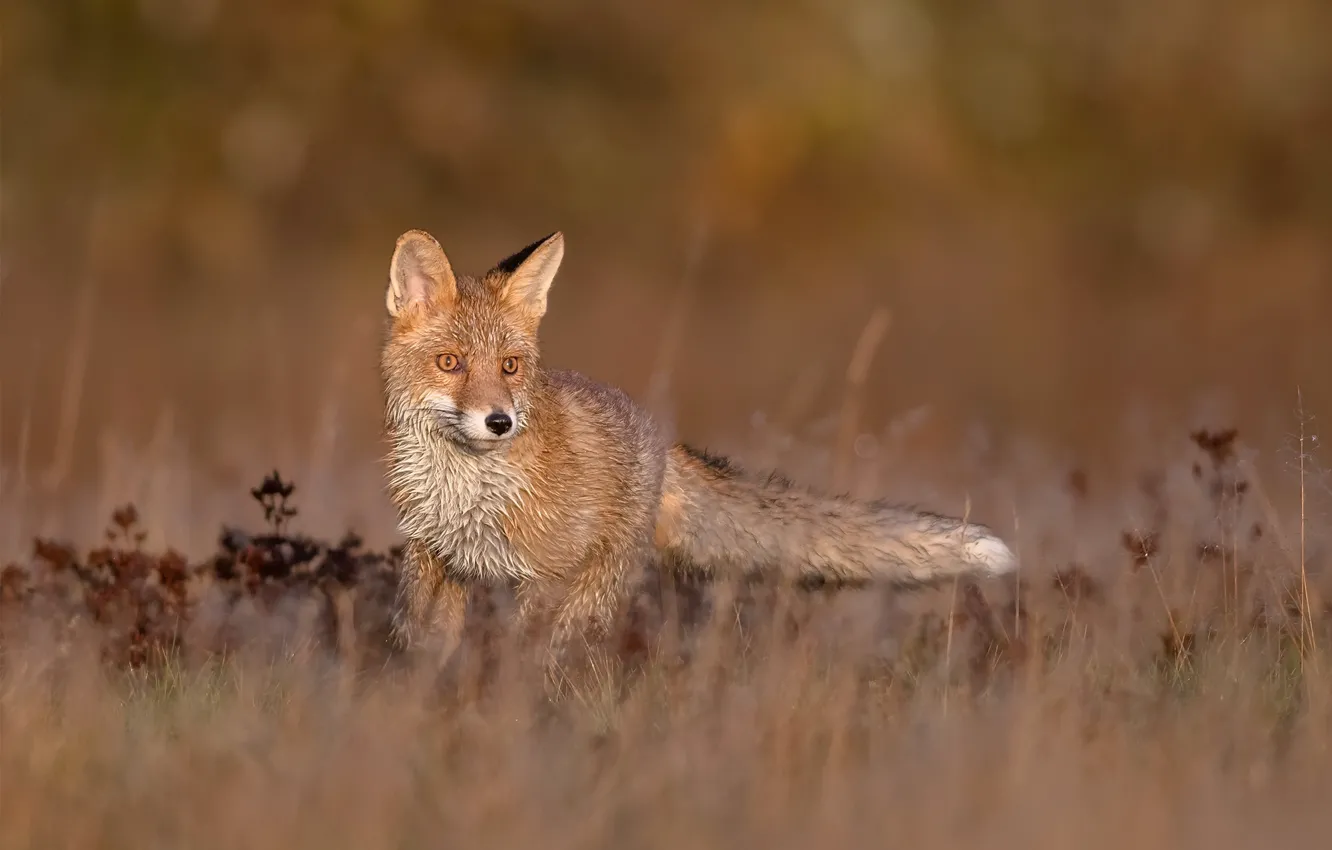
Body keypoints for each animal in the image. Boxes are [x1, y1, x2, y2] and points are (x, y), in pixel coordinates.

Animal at [379, 228, 1019, 665]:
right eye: (450, 363)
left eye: (510, 367)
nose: (499, 422)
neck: (468, 496)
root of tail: (659, 438)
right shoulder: (434, 560)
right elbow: (426, 649)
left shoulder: (547, 576)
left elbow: (518, 662)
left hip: (595, 593)